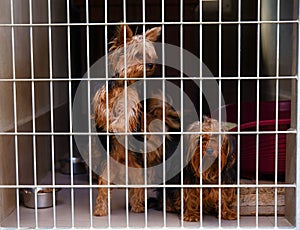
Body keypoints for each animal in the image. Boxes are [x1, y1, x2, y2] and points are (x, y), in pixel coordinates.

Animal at [92, 26, 179, 217]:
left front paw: (117, 126)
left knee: (137, 189)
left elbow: (125, 116)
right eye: (138, 55)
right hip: (107, 171)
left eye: (150, 56)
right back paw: (100, 210)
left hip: (137, 171)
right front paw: (109, 122)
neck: (123, 83)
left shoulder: (131, 103)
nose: (151, 65)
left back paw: (138, 207)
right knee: (104, 190)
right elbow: (103, 112)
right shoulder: (101, 100)